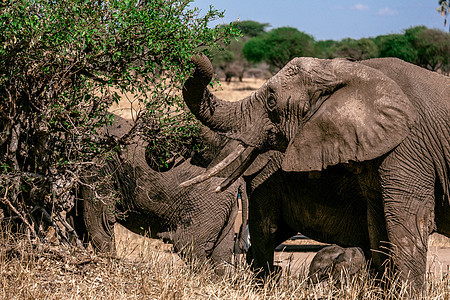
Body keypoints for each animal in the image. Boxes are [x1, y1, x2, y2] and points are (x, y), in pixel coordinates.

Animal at [71, 116, 250, 266]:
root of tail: (239, 182)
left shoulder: (97, 165)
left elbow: (98, 222)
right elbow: (77, 218)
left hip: (207, 206)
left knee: (189, 246)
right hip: (223, 208)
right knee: (221, 256)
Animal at [181, 55, 448, 290]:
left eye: (271, 101)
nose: (193, 56)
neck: (352, 71)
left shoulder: (410, 147)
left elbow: (408, 223)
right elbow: (378, 227)